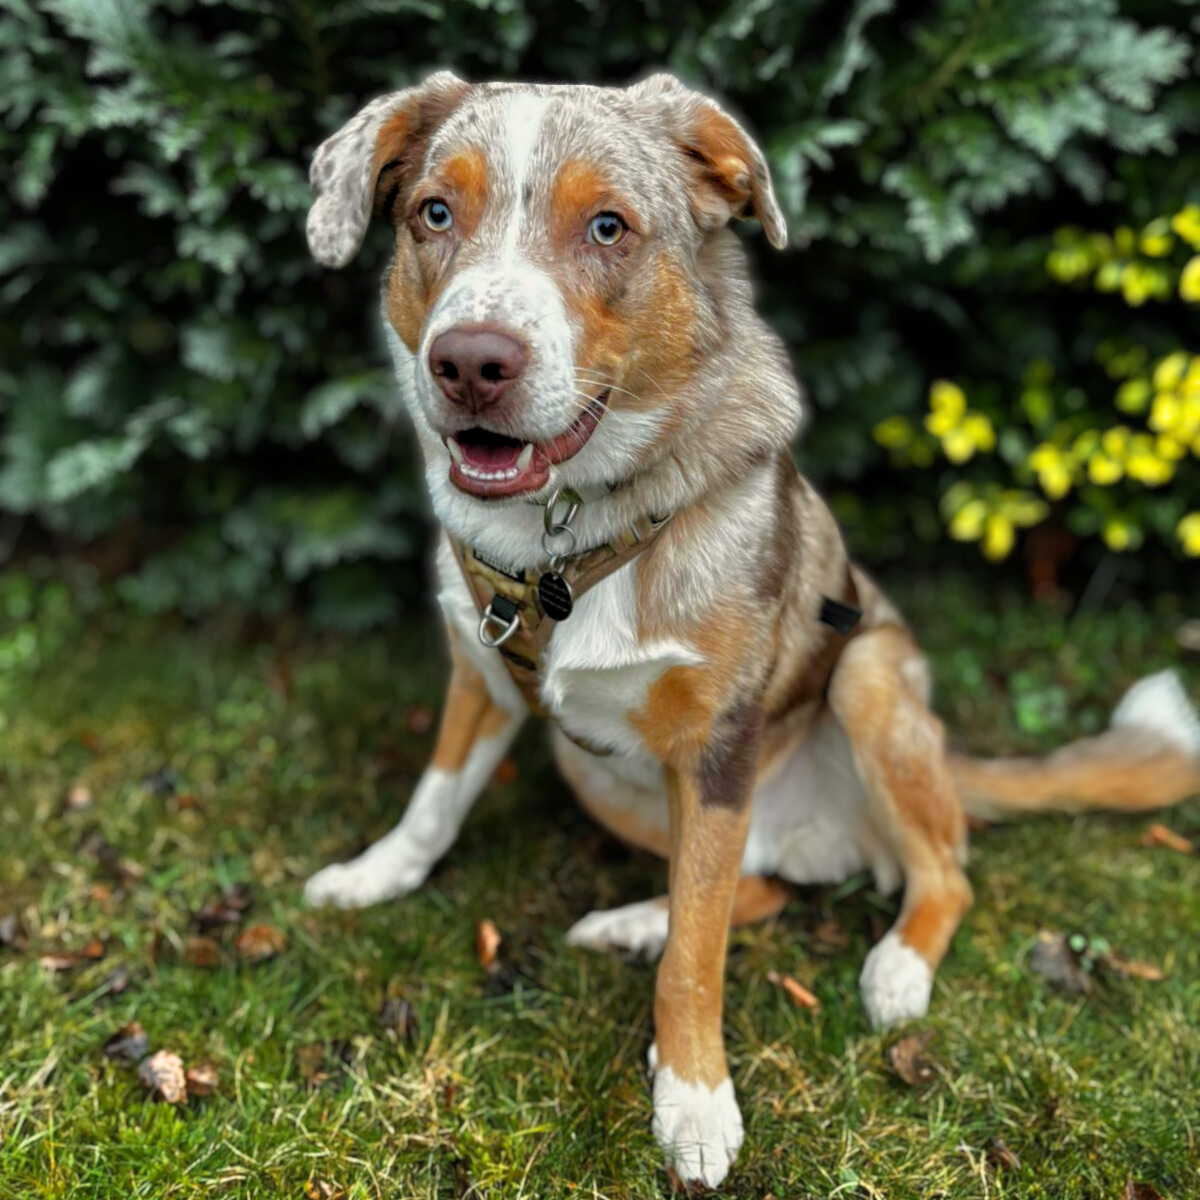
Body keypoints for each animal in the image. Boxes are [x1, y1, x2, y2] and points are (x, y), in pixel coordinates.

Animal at [301, 71, 1200, 1188]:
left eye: (608, 226)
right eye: (433, 213)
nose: (470, 363)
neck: (562, 541)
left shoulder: (718, 745)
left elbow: (699, 958)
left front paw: (693, 1102)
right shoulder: (482, 666)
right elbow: (435, 802)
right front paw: (374, 875)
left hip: (865, 675)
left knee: (929, 871)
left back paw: (895, 968)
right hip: (601, 773)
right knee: (749, 889)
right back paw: (638, 921)